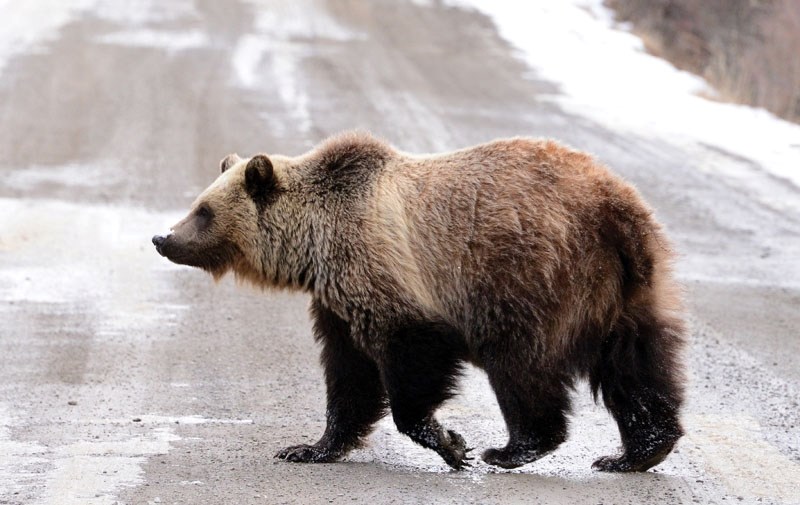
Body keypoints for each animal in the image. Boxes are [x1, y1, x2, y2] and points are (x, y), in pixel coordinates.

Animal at [153, 132, 684, 470]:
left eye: (203, 211)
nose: (163, 237)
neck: (315, 246)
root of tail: (617, 205)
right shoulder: (339, 302)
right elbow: (350, 376)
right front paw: (308, 446)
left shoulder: (387, 274)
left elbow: (409, 360)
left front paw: (452, 444)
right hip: (626, 289)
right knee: (637, 365)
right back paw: (637, 451)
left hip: (532, 273)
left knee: (521, 364)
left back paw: (513, 448)